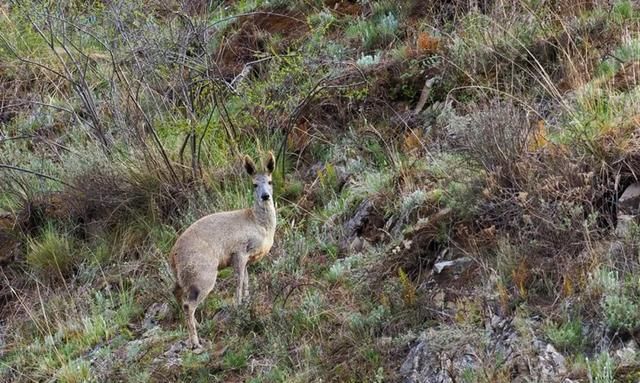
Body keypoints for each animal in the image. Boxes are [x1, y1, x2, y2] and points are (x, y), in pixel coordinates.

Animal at [170, 152, 278, 350]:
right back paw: (195, 342)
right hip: (203, 274)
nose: (265, 196)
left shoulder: (248, 259)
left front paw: (247, 302)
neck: (258, 223)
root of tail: (172, 255)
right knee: (188, 304)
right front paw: (239, 306)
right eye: (254, 184)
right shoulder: (240, 252)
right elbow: (239, 281)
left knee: (176, 293)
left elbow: (246, 281)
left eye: (270, 181)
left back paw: (199, 325)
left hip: (183, 277)